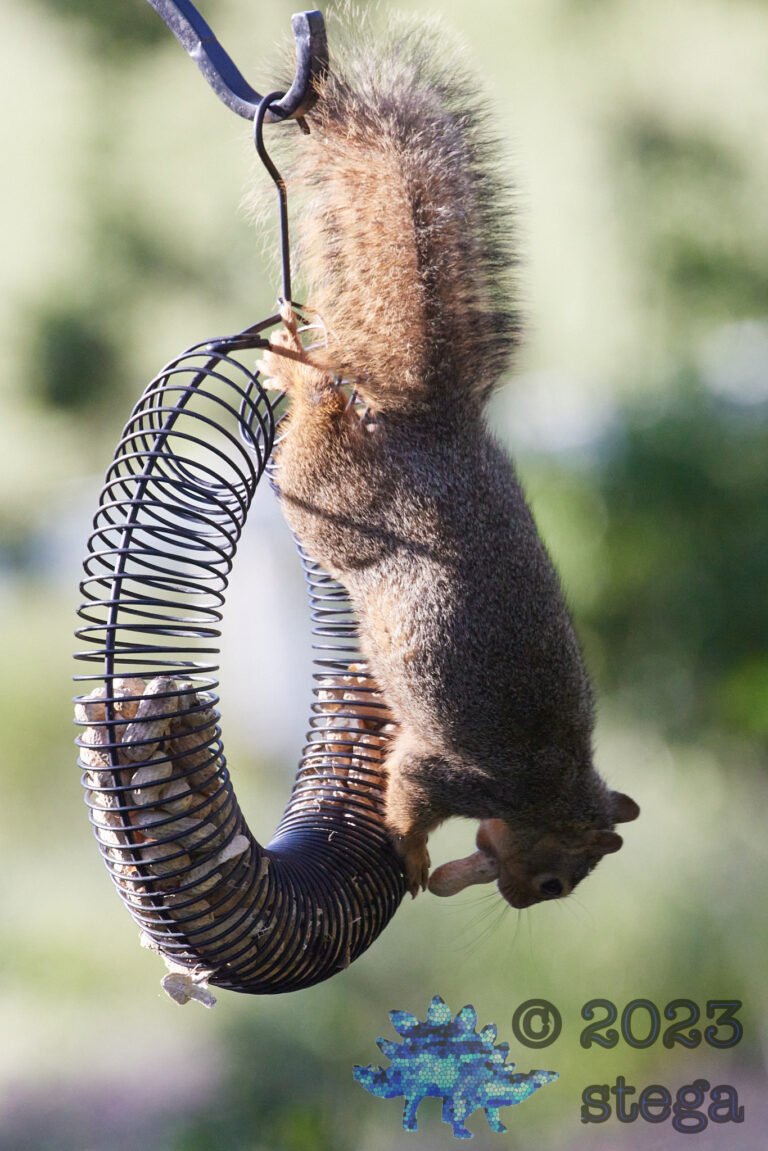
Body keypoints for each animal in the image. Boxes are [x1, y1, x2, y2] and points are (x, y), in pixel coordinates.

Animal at [256, 16, 639, 907]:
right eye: (562, 880)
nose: (521, 896)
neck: (553, 787)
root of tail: (434, 424)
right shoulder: (458, 773)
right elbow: (409, 794)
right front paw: (414, 855)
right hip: (330, 498)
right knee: (317, 423)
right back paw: (299, 367)